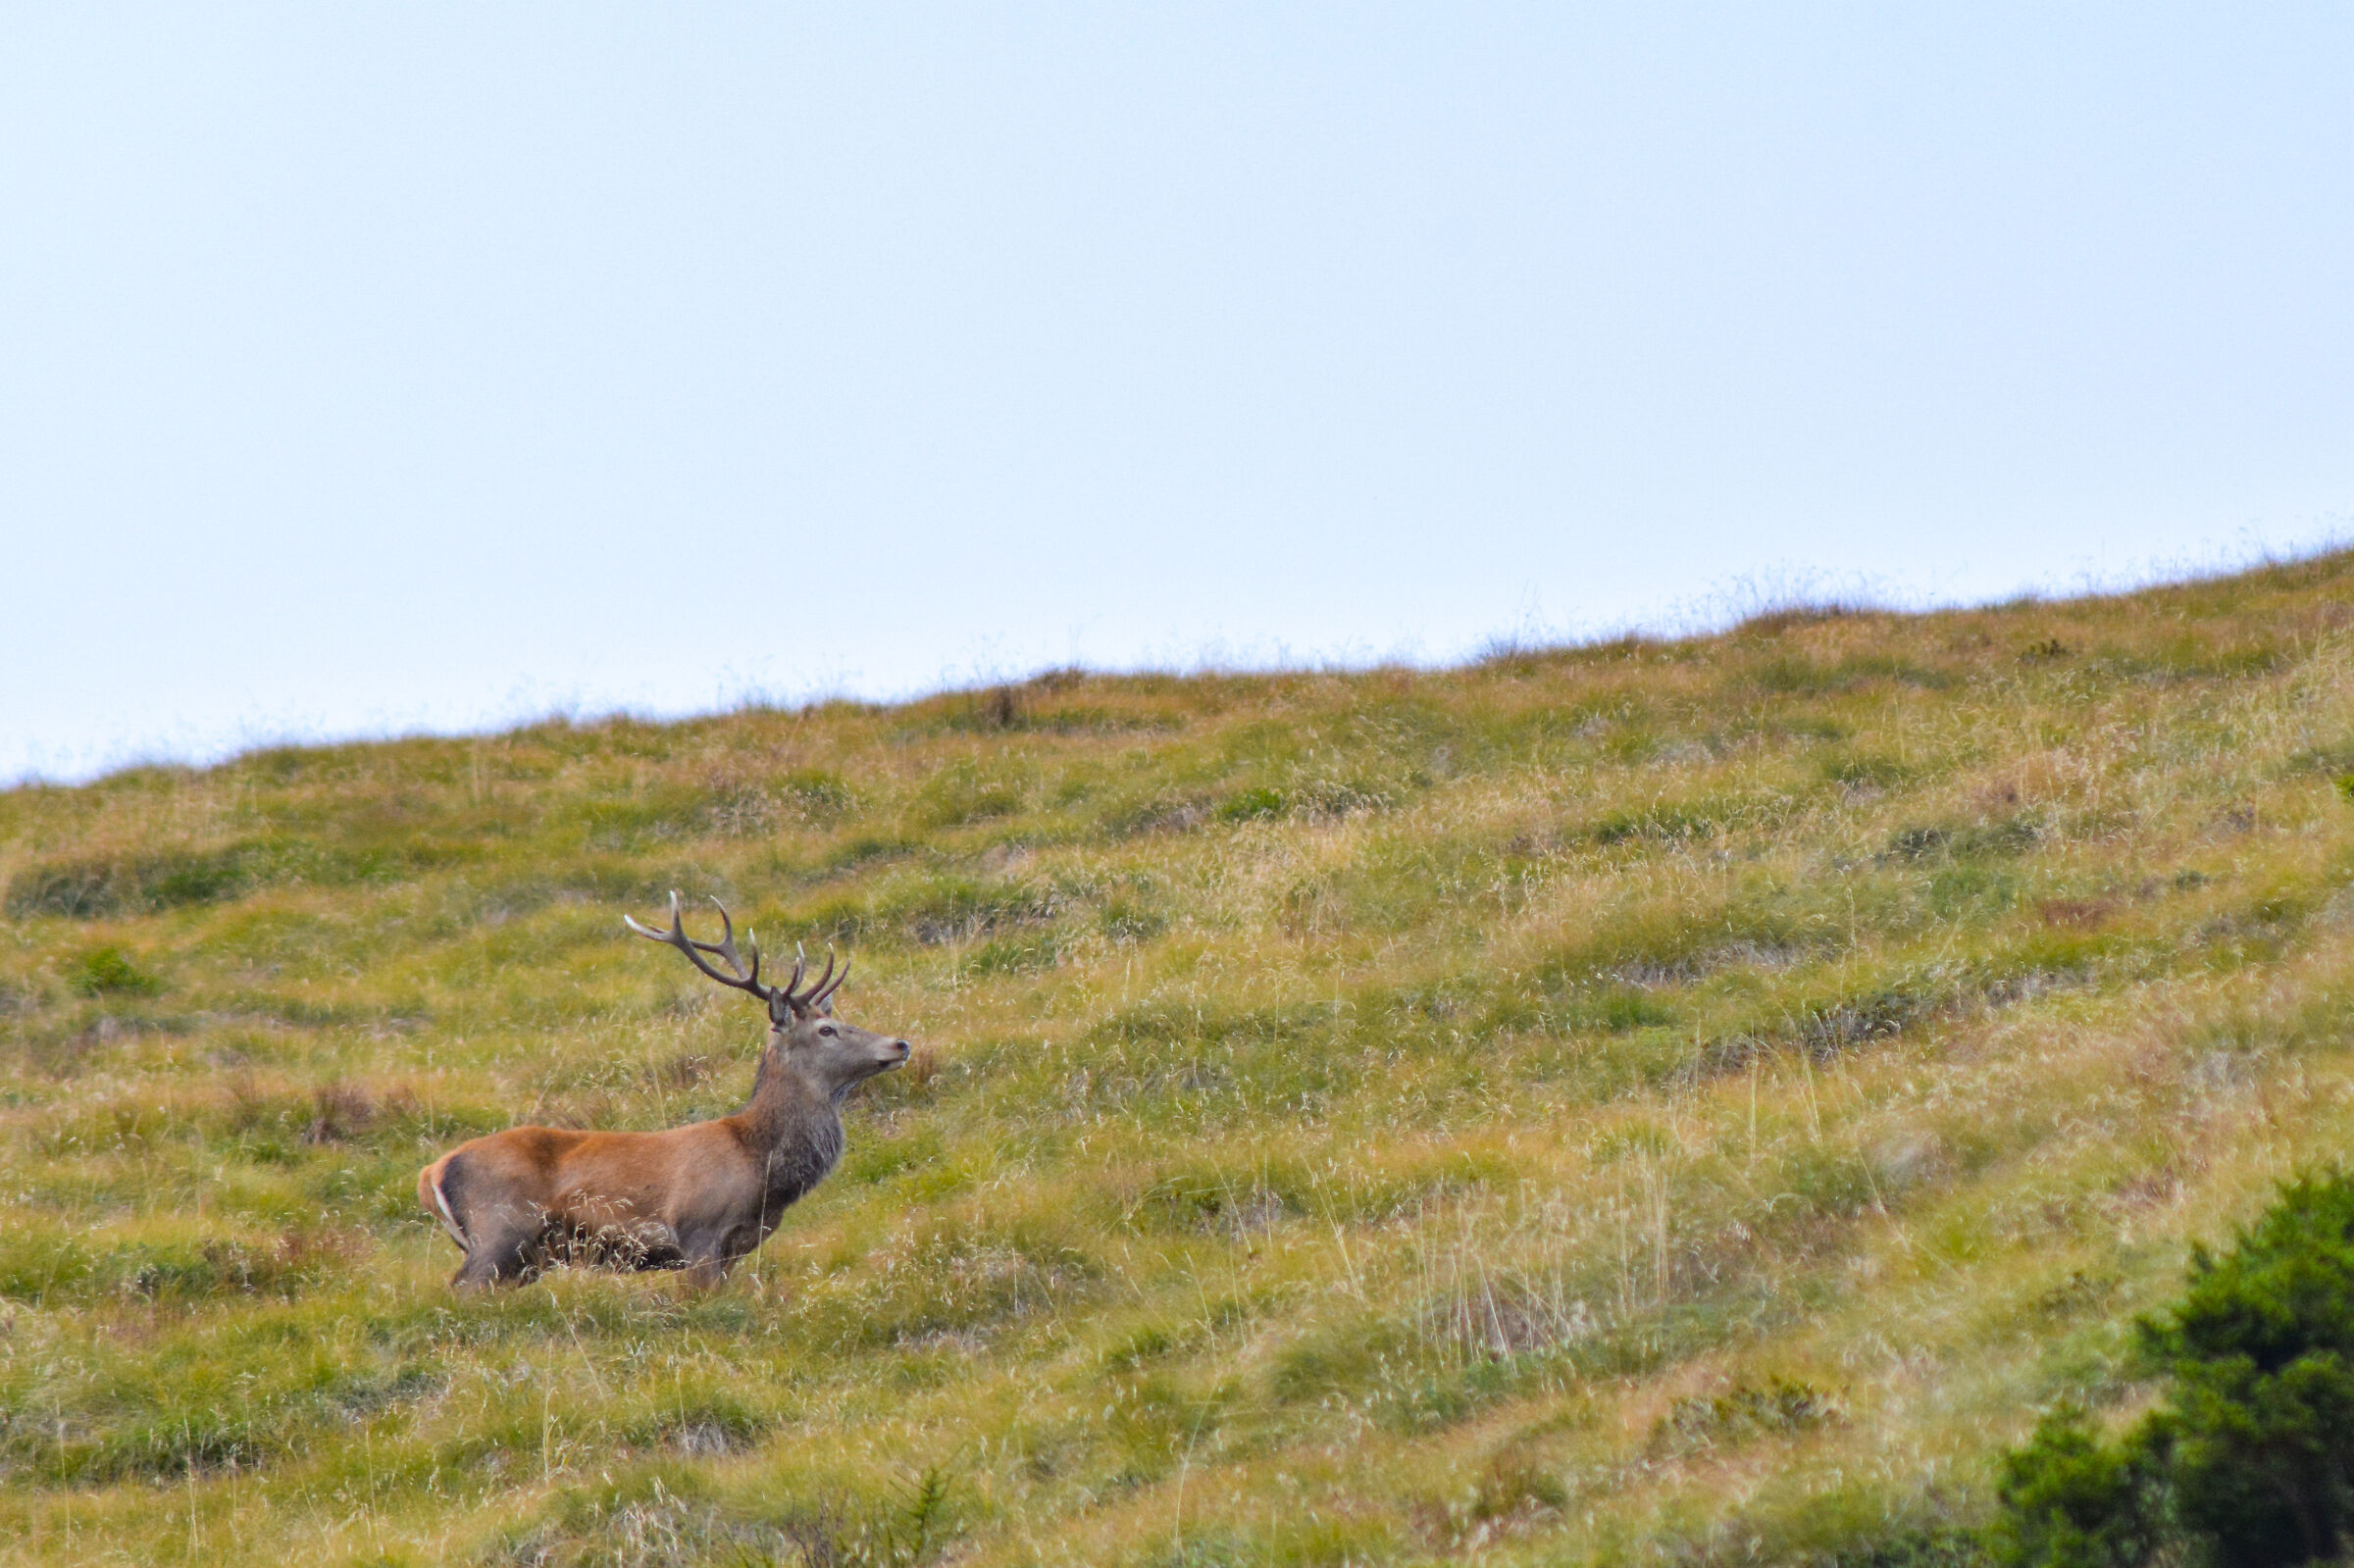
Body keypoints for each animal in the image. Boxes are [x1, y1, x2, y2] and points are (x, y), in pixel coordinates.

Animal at [415, 893, 912, 1290]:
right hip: (499, 1228)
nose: (900, 1043)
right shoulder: (699, 1231)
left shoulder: (738, 1246)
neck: (762, 1166)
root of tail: (430, 1173)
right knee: (461, 1289)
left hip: (522, 1258)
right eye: (827, 1030)